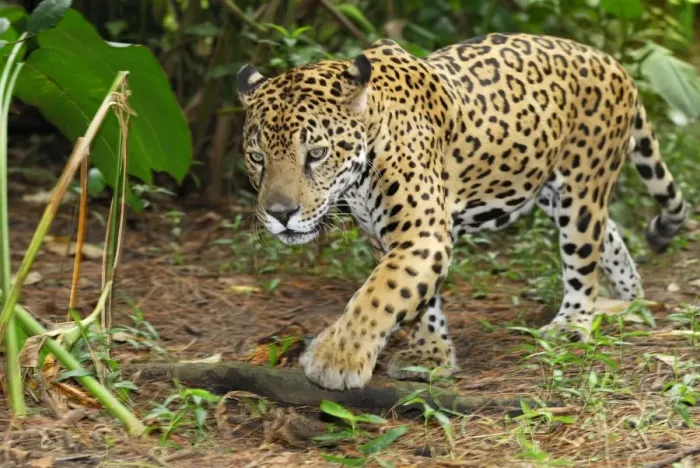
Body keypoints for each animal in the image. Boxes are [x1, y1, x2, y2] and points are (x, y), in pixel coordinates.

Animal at [235, 33, 690, 391]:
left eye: (315, 154)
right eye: (257, 158)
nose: (280, 213)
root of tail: (612, 62)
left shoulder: (420, 234)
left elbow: (379, 293)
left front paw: (338, 357)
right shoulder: (394, 238)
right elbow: (418, 300)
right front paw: (431, 356)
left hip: (581, 185)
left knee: (583, 256)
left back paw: (574, 322)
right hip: (551, 189)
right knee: (607, 237)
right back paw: (626, 303)